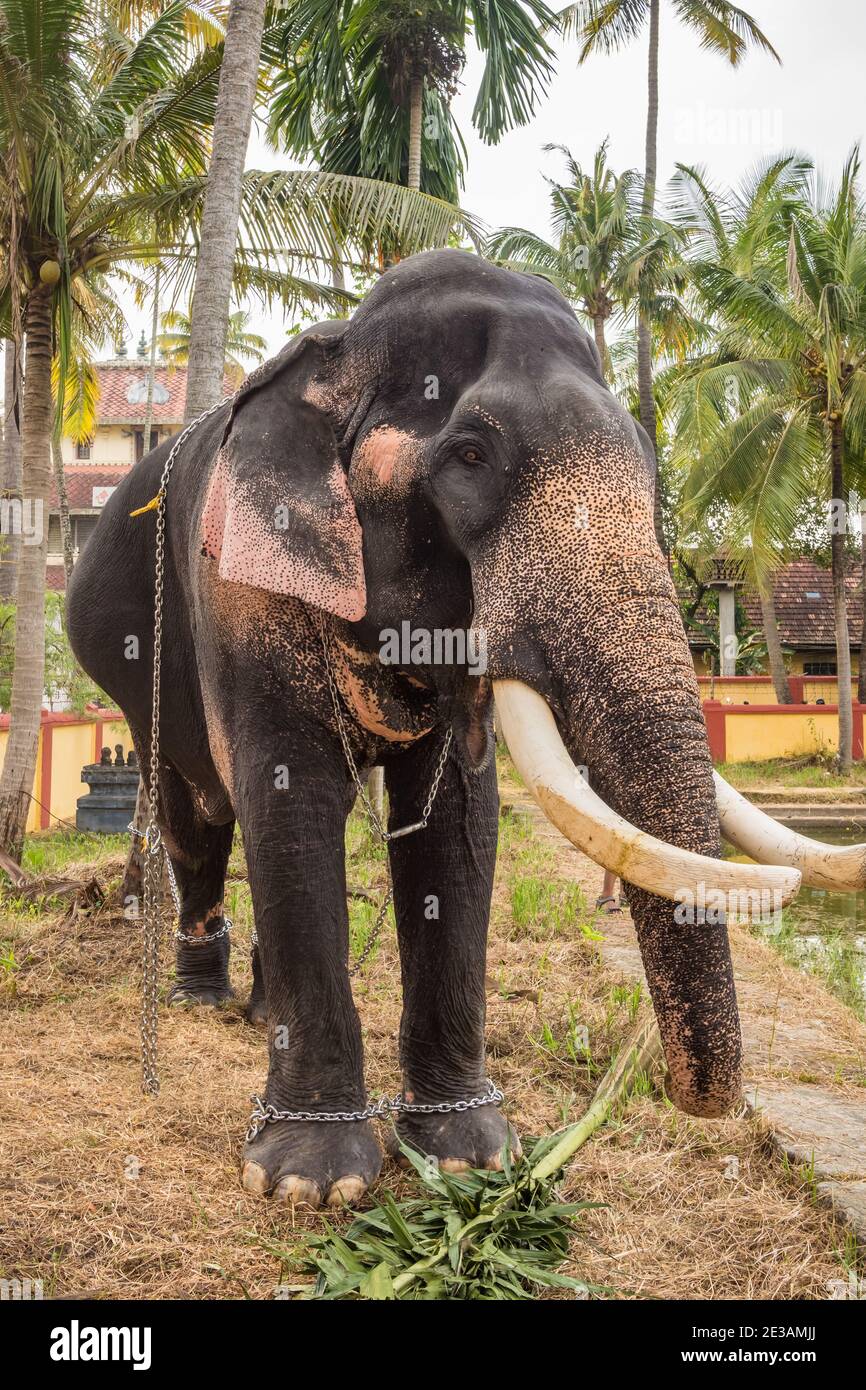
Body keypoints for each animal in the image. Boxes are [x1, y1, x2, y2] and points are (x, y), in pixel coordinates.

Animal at [68, 249, 861, 1209]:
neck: (340, 355)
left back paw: (258, 1008)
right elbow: (291, 799)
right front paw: (310, 1181)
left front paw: (471, 1157)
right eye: (472, 456)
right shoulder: (244, 591)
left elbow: (457, 825)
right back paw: (199, 999)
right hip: (130, 660)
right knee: (196, 815)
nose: (699, 1100)